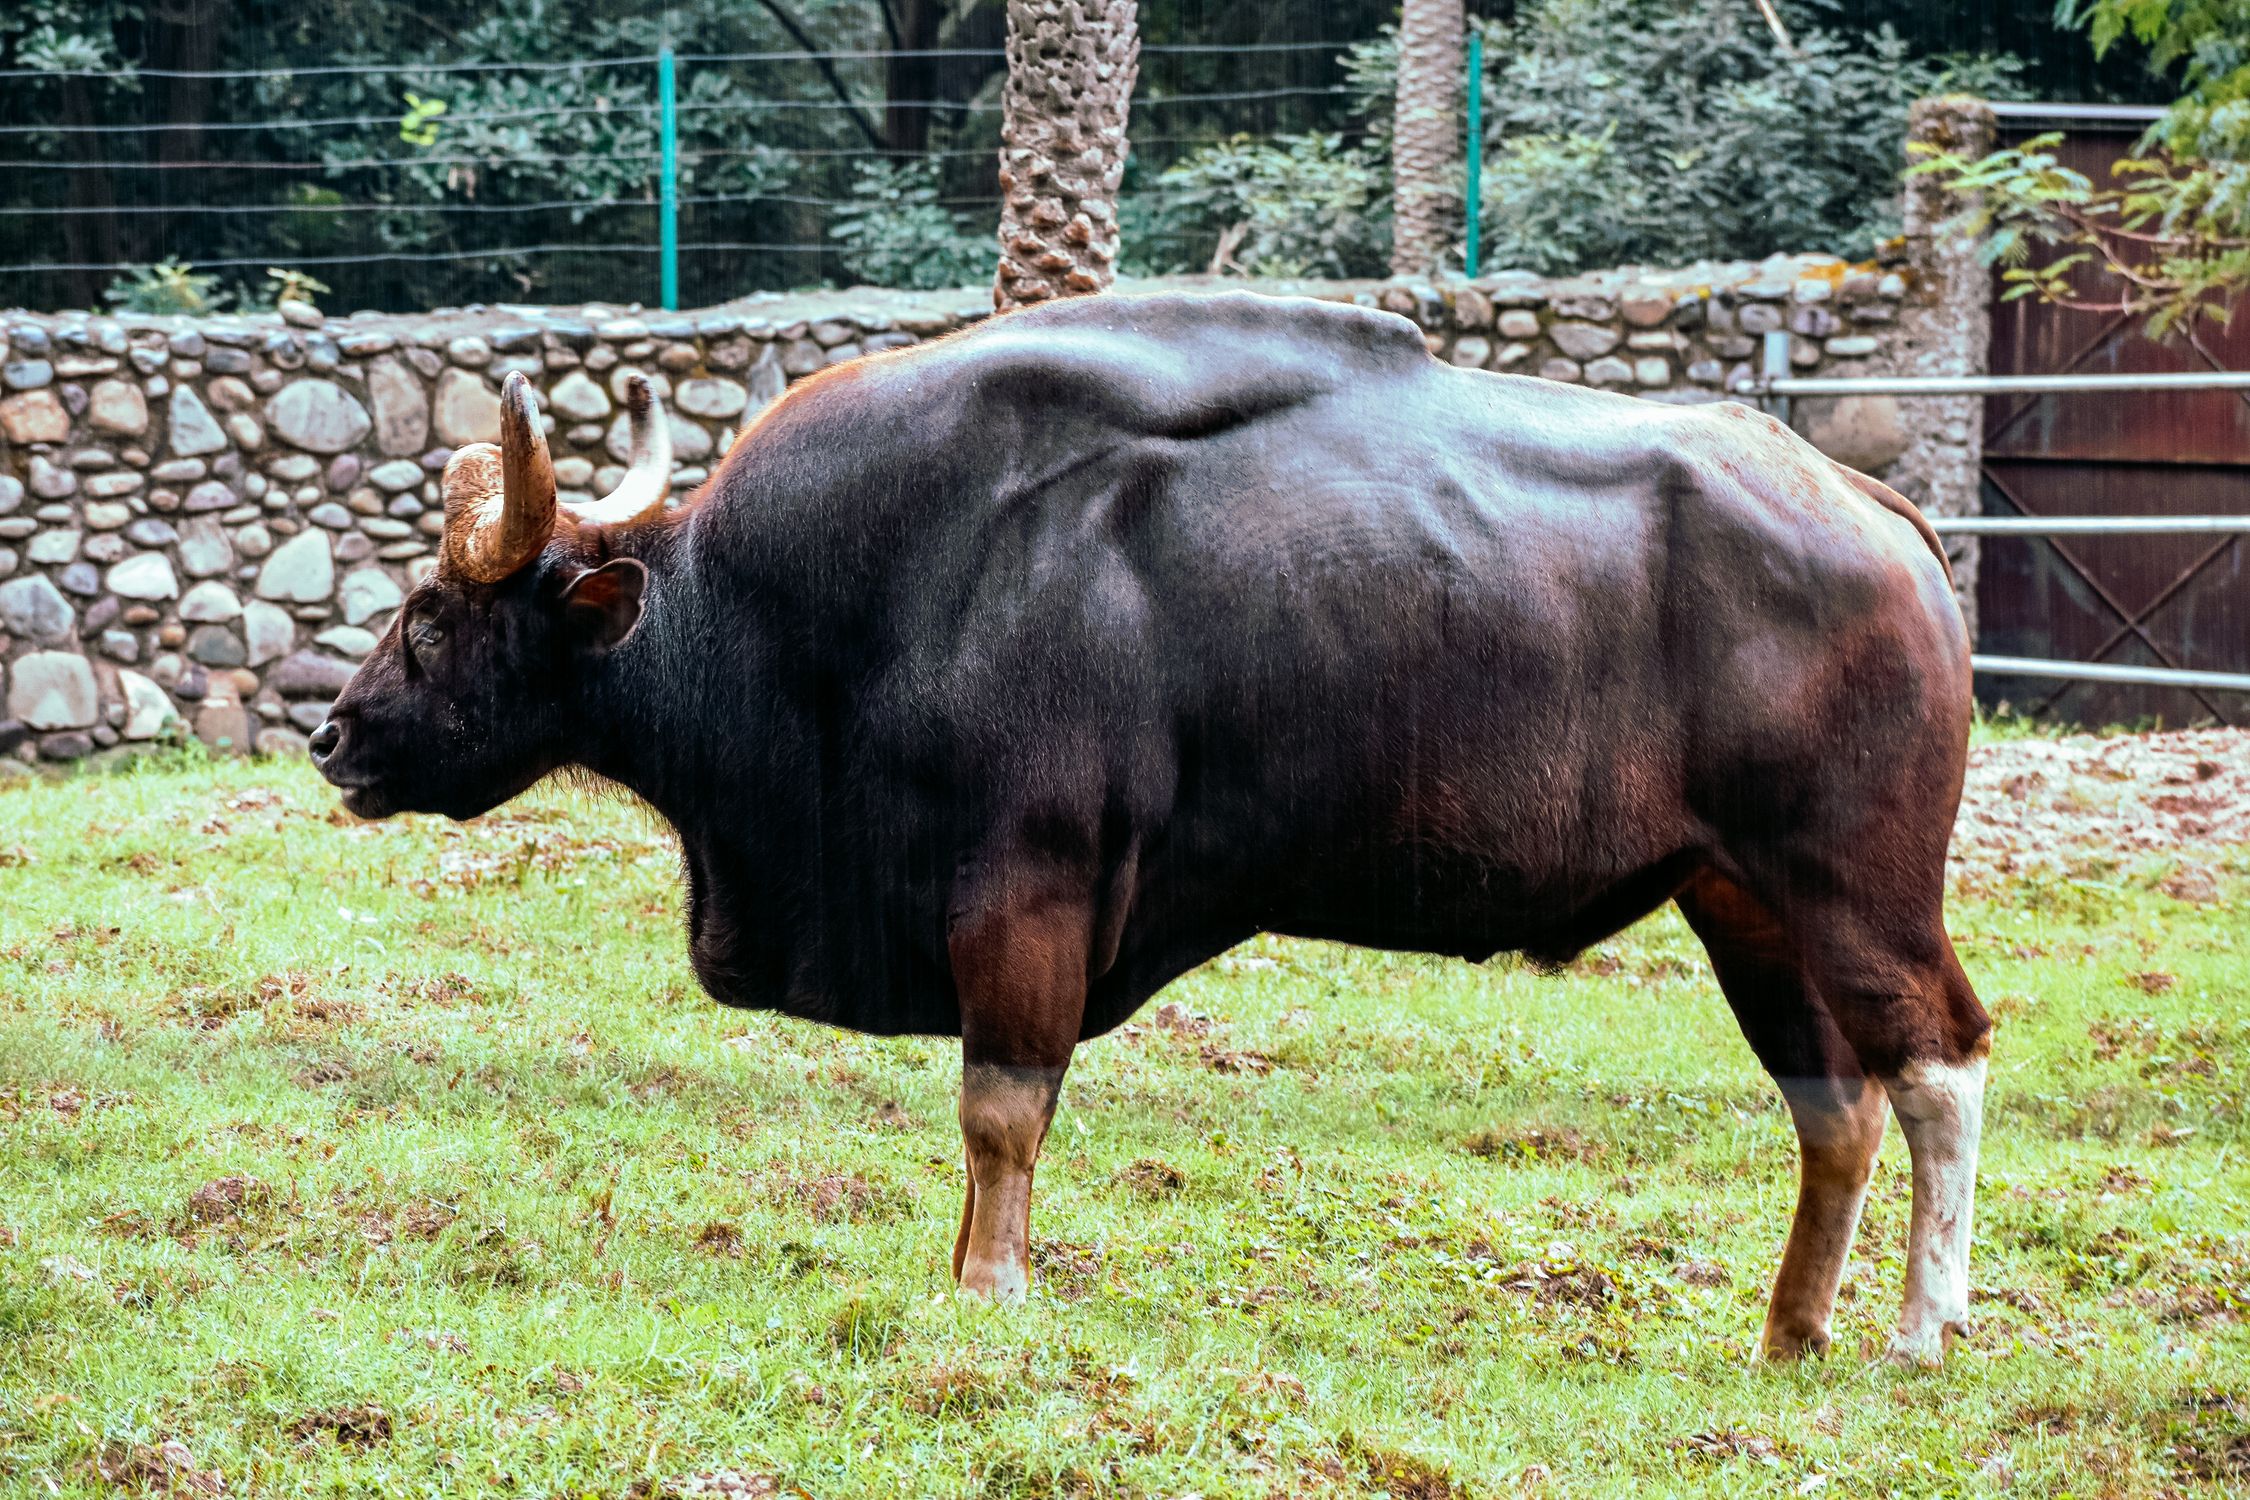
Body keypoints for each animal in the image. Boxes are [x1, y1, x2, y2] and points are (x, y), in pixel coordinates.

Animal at [310, 290, 1990, 1365]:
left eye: (430, 617)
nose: (333, 736)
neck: (834, 604)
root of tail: (1878, 517)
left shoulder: (1025, 892)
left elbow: (1001, 1108)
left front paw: (988, 1294)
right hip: (1740, 896)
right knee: (1831, 1099)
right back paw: (1789, 1332)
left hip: (1856, 885)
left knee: (1938, 1059)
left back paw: (1919, 1330)